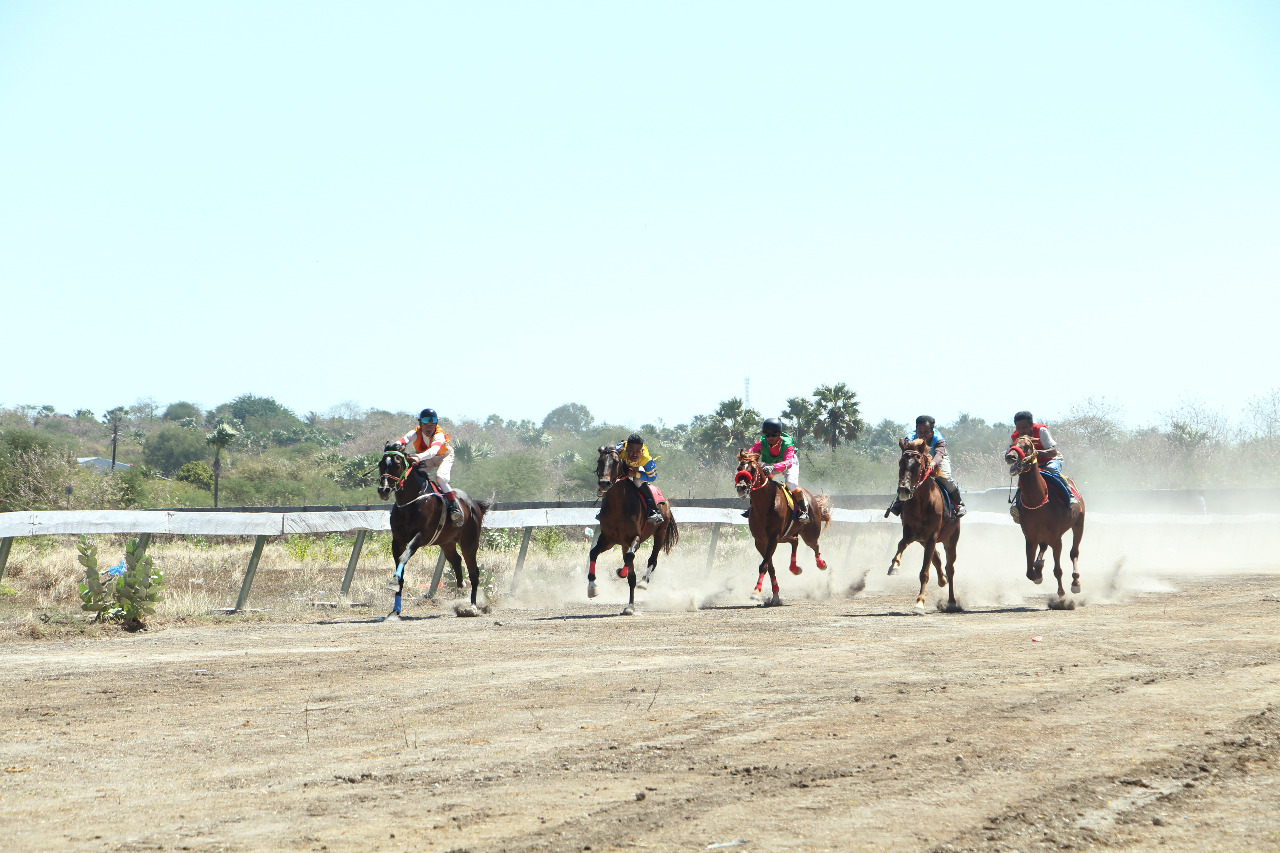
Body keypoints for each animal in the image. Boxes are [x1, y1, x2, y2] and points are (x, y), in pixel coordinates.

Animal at [376, 440, 486, 614]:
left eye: (397, 464)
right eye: (381, 464)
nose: (384, 490)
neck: (411, 502)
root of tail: (474, 504)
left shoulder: (422, 536)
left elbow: (404, 557)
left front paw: (393, 583)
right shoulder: (398, 540)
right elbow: (400, 563)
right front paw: (395, 608)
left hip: (470, 542)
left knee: (474, 571)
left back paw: (473, 606)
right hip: (447, 541)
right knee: (456, 559)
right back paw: (461, 584)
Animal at [588, 440, 680, 614]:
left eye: (616, 462)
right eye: (599, 461)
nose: (604, 483)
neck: (618, 507)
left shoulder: (635, 537)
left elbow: (630, 559)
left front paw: (621, 572)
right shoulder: (608, 539)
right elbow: (593, 553)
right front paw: (592, 587)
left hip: (660, 533)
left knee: (652, 559)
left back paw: (643, 583)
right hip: (624, 543)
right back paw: (630, 604)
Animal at [737, 450, 834, 604]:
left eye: (752, 469)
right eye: (738, 468)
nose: (741, 487)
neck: (764, 507)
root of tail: (812, 498)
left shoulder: (773, 537)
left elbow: (764, 565)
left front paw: (756, 591)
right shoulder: (760, 541)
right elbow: (769, 566)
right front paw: (775, 595)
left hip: (809, 534)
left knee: (815, 545)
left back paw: (821, 564)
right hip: (786, 535)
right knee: (795, 541)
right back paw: (794, 568)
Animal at [890, 438, 962, 612]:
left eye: (917, 464)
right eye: (900, 462)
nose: (903, 490)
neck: (922, 503)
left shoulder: (931, 537)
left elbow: (924, 572)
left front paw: (919, 603)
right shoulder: (911, 534)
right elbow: (901, 544)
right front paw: (894, 566)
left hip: (951, 539)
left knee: (950, 568)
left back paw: (951, 601)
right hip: (924, 541)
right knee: (937, 559)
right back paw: (942, 580)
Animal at [1003, 432, 1085, 596]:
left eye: (1026, 446)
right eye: (1011, 445)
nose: (1010, 457)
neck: (1038, 502)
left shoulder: (1056, 539)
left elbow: (1058, 569)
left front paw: (1061, 592)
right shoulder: (1030, 538)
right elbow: (1029, 572)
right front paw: (1038, 573)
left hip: (1079, 524)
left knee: (1074, 553)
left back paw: (1075, 581)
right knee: (1043, 548)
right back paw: (1040, 565)